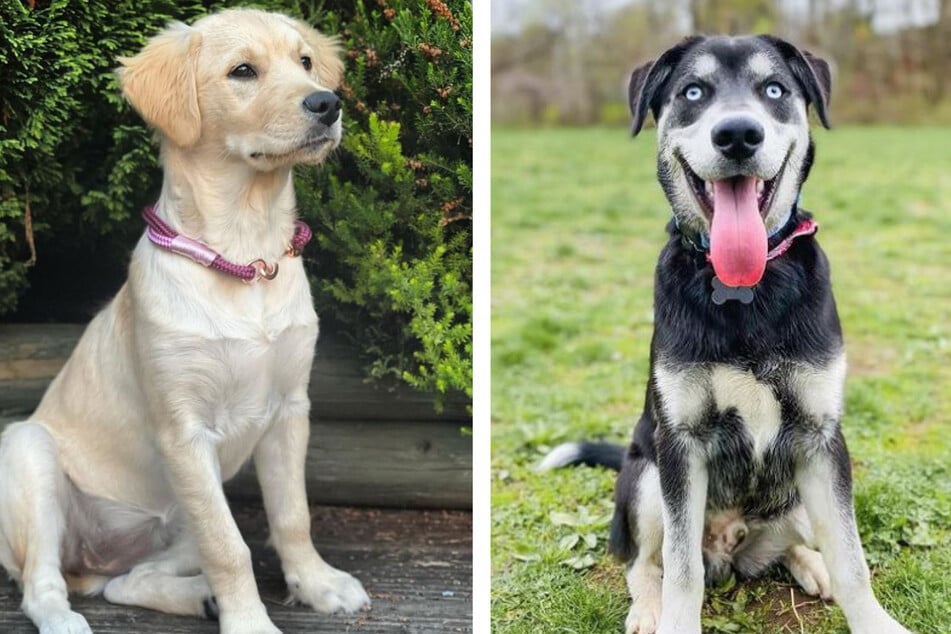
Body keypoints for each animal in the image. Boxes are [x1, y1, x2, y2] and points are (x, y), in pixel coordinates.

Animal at [0, 9, 370, 632]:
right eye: (242, 71)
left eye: (305, 62)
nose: (328, 103)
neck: (248, 254)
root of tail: (94, 559)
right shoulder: (184, 433)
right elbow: (231, 548)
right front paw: (251, 624)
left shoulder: (290, 410)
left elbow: (291, 517)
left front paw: (316, 585)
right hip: (30, 454)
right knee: (41, 582)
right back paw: (65, 617)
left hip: (178, 520)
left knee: (126, 583)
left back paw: (198, 596)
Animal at [540, 35, 912, 632]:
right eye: (694, 92)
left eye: (775, 90)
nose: (738, 134)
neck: (744, 289)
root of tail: (732, 544)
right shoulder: (681, 447)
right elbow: (681, 570)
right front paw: (672, 618)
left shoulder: (823, 441)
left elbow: (852, 559)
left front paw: (873, 620)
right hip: (646, 476)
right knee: (643, 562)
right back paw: (647, 608)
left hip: (794, 497)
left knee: (799, 543)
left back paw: (811, 564)